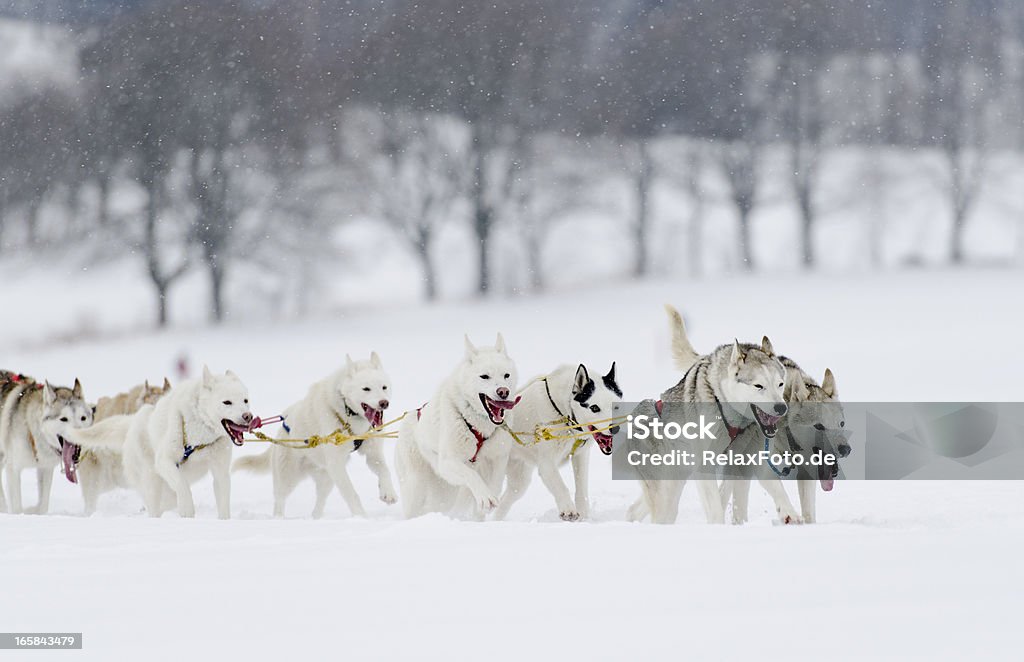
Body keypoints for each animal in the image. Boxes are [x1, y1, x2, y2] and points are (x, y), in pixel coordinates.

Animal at [65, 368, 252, 518]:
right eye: (227, 402)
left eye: (245, 400)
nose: (248, 416)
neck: (200, 436)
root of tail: (132, 423)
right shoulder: (164, 461)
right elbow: (182, 485)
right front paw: (187, 509)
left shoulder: (220, 472)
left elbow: (223, 501)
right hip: (151, 481)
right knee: (154, 506)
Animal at [233, 354, 395, 520]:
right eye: (366, 389)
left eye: (384, 387)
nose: (384, 403)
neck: (347, 413)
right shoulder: (336, 463)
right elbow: (351, 494)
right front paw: (361, 516)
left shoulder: (372, 454)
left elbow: (384, 470)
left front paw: (388, 492)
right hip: (288, 477)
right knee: (279, 499)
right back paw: (279, 518)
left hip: (327, 477)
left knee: (320, 501)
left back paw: (316, 518)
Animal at [393, 334, 520, 520]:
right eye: (484, 376)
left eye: (506, 375)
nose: (504, 391)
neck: (479, 426)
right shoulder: (448, 463)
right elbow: (471, 475)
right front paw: (485, 496)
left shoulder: (497, 458)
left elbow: (495, 484)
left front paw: (487, 503)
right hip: (417, 487)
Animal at [491, 362, 618, 524]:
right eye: (594, 408)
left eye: (615, 406)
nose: (615, 428)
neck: (563, 411)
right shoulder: (547, 464)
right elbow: (561, 486)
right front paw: (568, 510)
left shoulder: (580, 456)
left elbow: (582, 489)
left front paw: (583, 515)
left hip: (519, 481)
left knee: (505, 500)